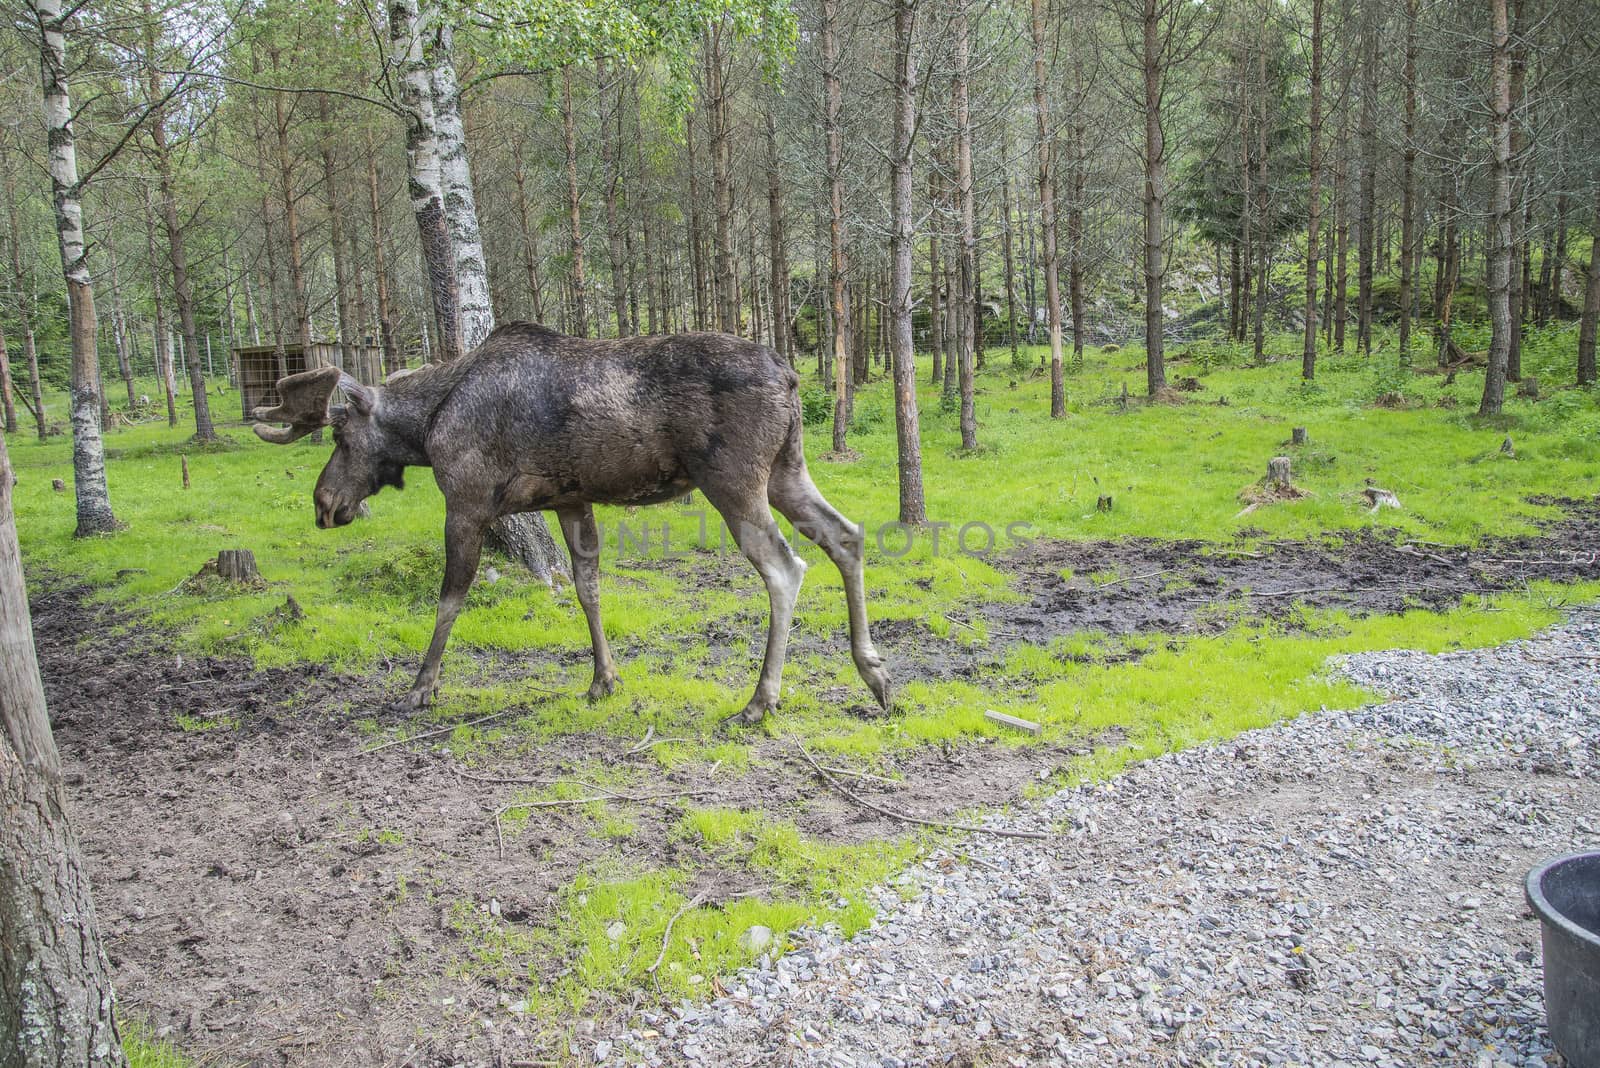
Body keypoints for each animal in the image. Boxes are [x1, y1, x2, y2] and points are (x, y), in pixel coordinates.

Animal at [256, 322, 896, 725]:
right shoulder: (570, 500)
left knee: (786, 568)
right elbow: (587, 586)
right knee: (847, 536)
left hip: (733, 480)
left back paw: (761, 701)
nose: (323, 503)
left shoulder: (466, 503)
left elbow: (449, 599)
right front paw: (602, 679)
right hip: (786, 469)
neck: (428, 424)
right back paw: (876, 675)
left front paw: (421, 687)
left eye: (340, 435)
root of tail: (790, 376)